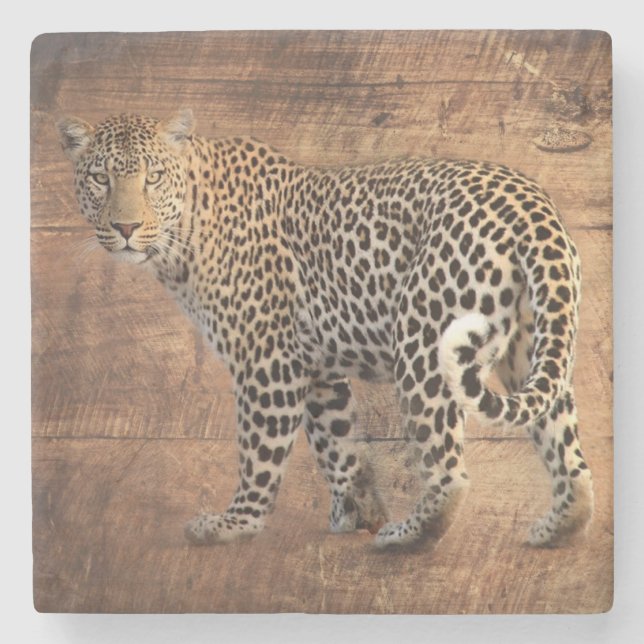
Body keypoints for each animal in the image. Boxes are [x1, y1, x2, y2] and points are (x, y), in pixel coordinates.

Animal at [57, 109, 594, 550]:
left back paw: (406, 537)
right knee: (567, 448)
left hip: (424, 342)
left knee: (450, 471)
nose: (126, 228)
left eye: (152, 178)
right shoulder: (315, 366)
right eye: (101, 178)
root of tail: (532, 204)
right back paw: (558, 528)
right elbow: (338, 444)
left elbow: (259, 451)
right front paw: (356, 512)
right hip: (534, 344)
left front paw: (237, 523)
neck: (185, 231)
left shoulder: (267, 360)